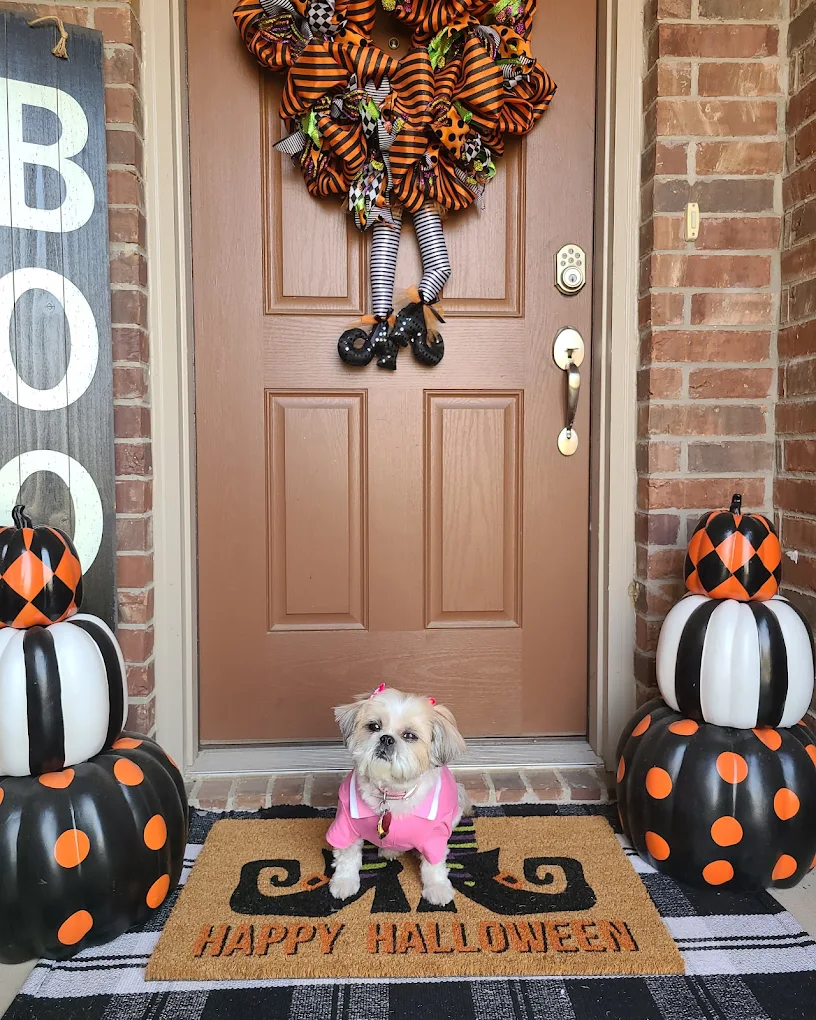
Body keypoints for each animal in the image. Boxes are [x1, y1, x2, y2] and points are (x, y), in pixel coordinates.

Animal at [326, 684, 470, 906]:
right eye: (374, 726)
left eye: (410, 736)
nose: (386, 738)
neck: (391, 793)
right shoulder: (345, 824)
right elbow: (347, 856)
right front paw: (344, 881)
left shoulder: (435, 836)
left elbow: (434, 865)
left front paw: (437, 888)